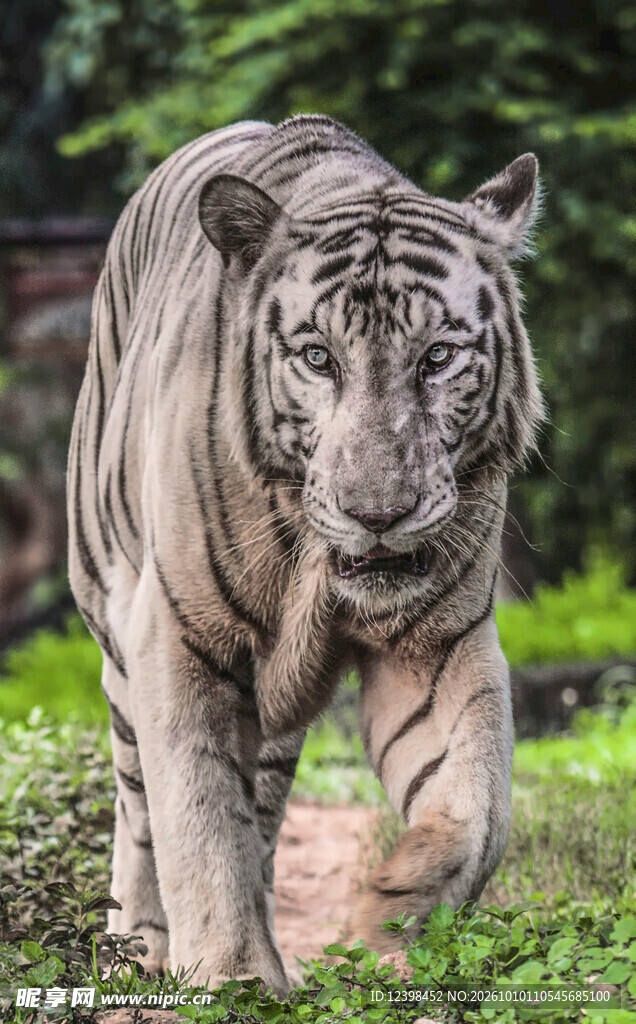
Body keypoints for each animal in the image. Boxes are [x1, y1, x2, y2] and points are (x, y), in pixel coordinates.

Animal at [67, 114, 543, 995]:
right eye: (319, 357)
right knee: (138, 801)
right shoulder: (176, 638)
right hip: (114, 632)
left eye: (437, 357)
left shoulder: (439, 643)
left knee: (260, 805)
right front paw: (230, 978)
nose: (378, 514)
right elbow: (197, 818)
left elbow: (478, 808)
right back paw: (137, 948)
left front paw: (392, 907)